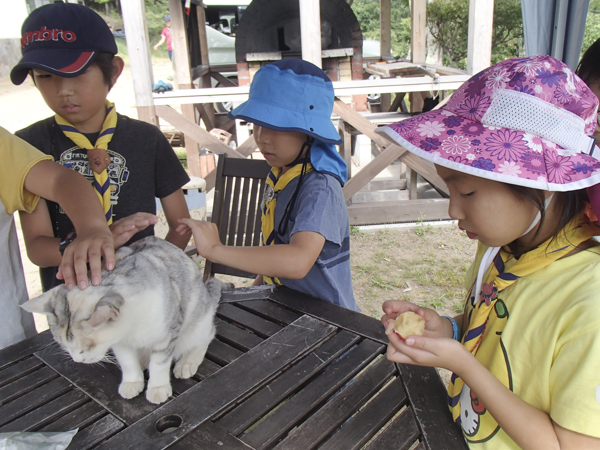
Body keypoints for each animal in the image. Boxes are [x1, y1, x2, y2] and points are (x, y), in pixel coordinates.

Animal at [21, 236, 232, 404]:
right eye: (65, 347)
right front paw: (132, 382)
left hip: (198, 322)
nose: (77, 360)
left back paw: (186, 363)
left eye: (85, 348)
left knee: (206, 336)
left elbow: (160, 364)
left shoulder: (166, 335)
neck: (132, 329)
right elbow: (128, 362)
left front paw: (157, 387)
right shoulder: (120, 343)